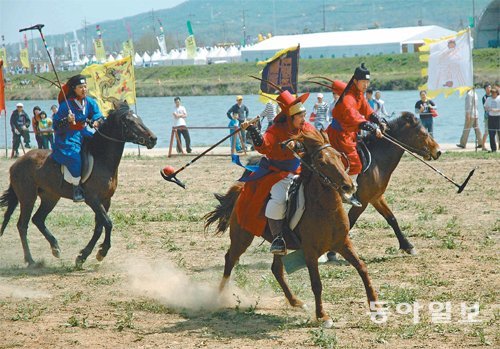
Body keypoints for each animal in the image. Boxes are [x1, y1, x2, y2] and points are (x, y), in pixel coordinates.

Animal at [0, 100, 156, 266]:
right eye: (130, 121)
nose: (153, 139)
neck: (101, 157)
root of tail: (17, 163)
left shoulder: (105, 200)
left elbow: (99, 227)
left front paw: (84, 255)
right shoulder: (92, 199)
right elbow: (108, 223)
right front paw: (101, 252)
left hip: (50, 197)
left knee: (38, 219)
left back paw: (55, 247)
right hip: (28, 197)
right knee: (22, 225)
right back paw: (31, 260)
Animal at [205, 129, 376, 328]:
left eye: (339, 157)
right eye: (321, 162)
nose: (349, 185)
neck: (325, 209)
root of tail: (241, 190)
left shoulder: (343, 243)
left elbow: (362, 268)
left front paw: (375, 305)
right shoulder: (310, 251)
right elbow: (316, 283)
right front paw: (322, 316)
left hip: (279, 246)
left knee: (276, 269)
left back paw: (296, 301)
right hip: (242, 237)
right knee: (230, 259)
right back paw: (218, 296)